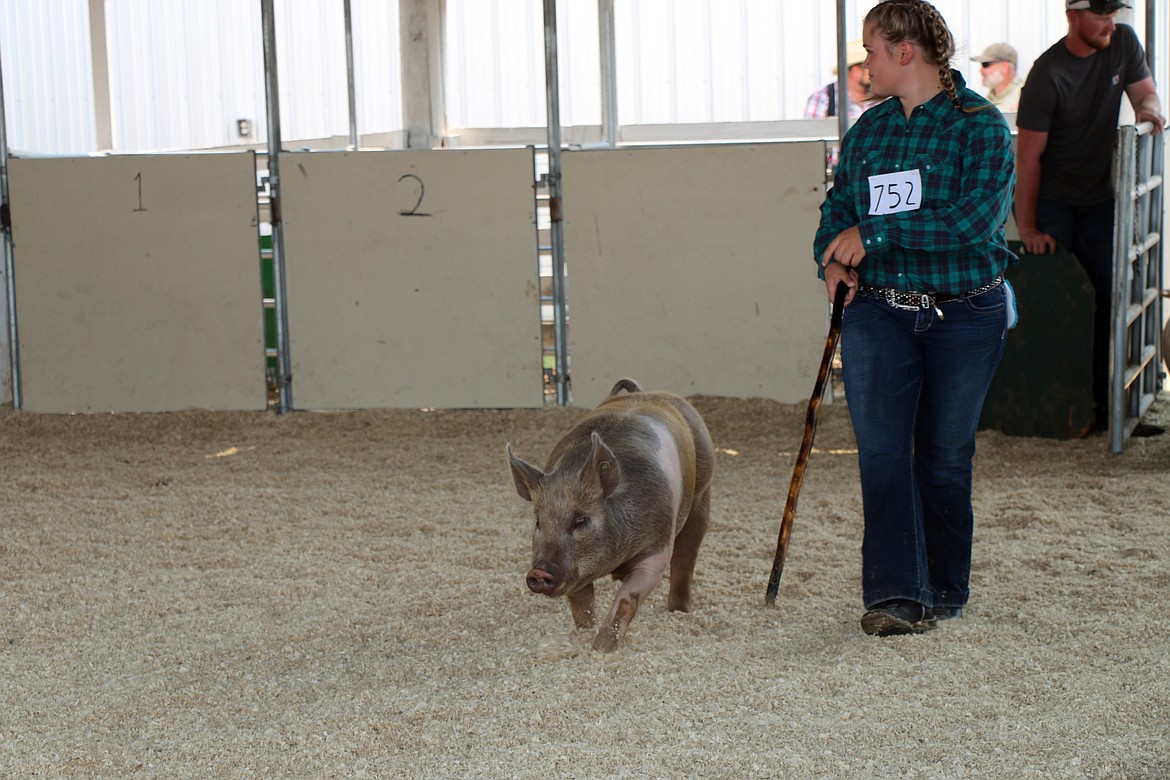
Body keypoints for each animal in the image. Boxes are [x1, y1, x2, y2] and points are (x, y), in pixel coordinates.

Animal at [503, 378, 711, 654]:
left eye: (580, 520)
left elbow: (628, 596)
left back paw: (680, 610)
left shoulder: (657, 547)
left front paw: (602, 648)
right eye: (538, 521)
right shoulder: (577, 574)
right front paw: (584, 630)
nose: (538, 572)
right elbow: (581, 601)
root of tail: (648, 393)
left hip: (703, 489)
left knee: (686, 556)